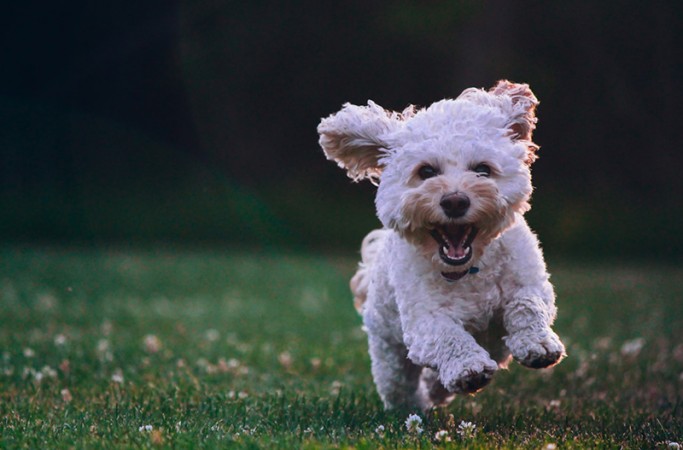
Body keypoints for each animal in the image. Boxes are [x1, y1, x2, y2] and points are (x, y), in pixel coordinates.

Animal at [320, 81, 568, 412]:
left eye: (483, 170)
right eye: (426, 172)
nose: (455, 201)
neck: (469, 269)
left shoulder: (530, 282)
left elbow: (527, 304)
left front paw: (538, 344)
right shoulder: (424, 320)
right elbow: (447, 335)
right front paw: (468, 368)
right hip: (389, 351)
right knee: (399, 384)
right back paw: (416, 406)